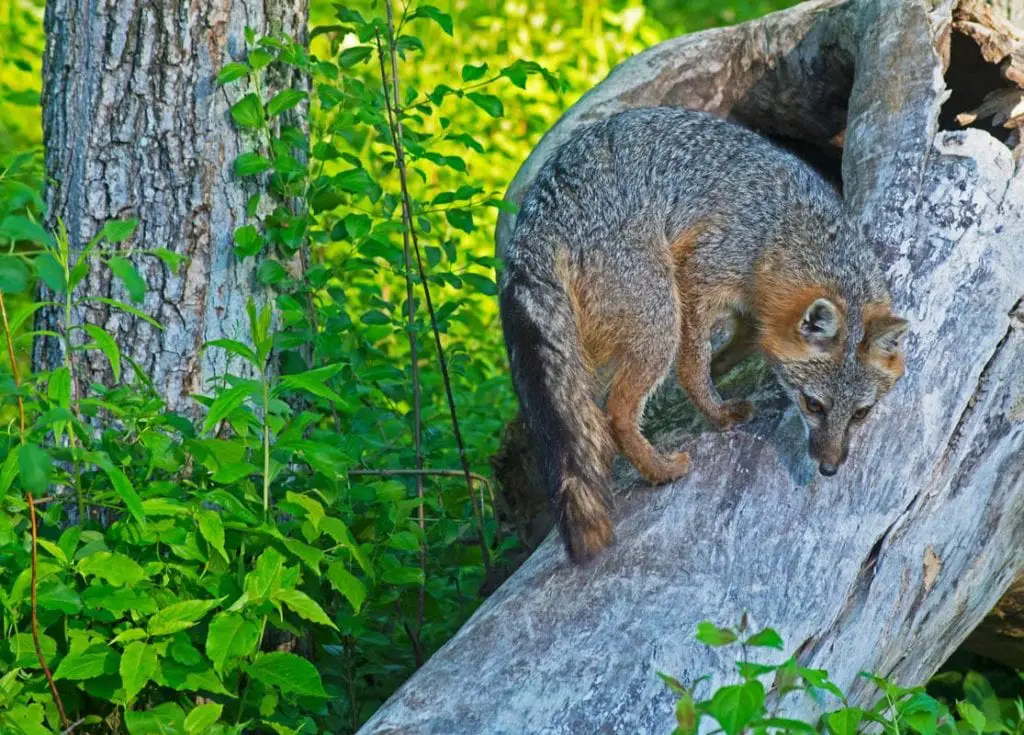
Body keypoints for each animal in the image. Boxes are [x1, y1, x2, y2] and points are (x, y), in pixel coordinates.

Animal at [499, 106, 909, 565]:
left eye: (860, 414)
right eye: (813, 405)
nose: (829, 468)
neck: (785, 228)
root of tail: (540, 212)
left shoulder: (752, 306)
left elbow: (740, 343)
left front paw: (722, 370)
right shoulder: (699, 276)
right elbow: (693, 365)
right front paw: (716, 411)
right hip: (660, 318)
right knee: (616, 413)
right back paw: (660, 471)